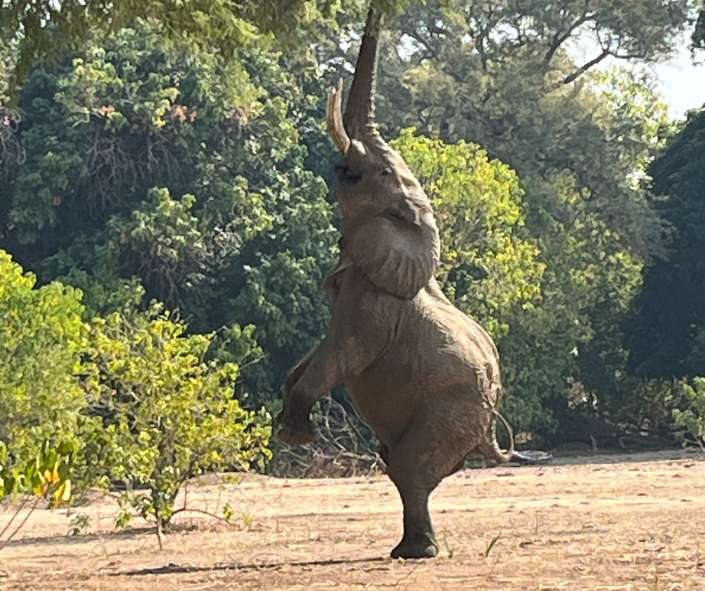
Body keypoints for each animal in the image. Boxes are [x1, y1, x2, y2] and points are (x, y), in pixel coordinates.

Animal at [276, 5, 552, 560]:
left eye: (368, 173)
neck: (409, 219)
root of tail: (492, 428)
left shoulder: (373, 302)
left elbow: (341, 354)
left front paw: (295, 435)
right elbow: (316, 352)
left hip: (452, 408)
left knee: (408, 468)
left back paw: (417, 553)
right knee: (404, 466)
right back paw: (409, 549)